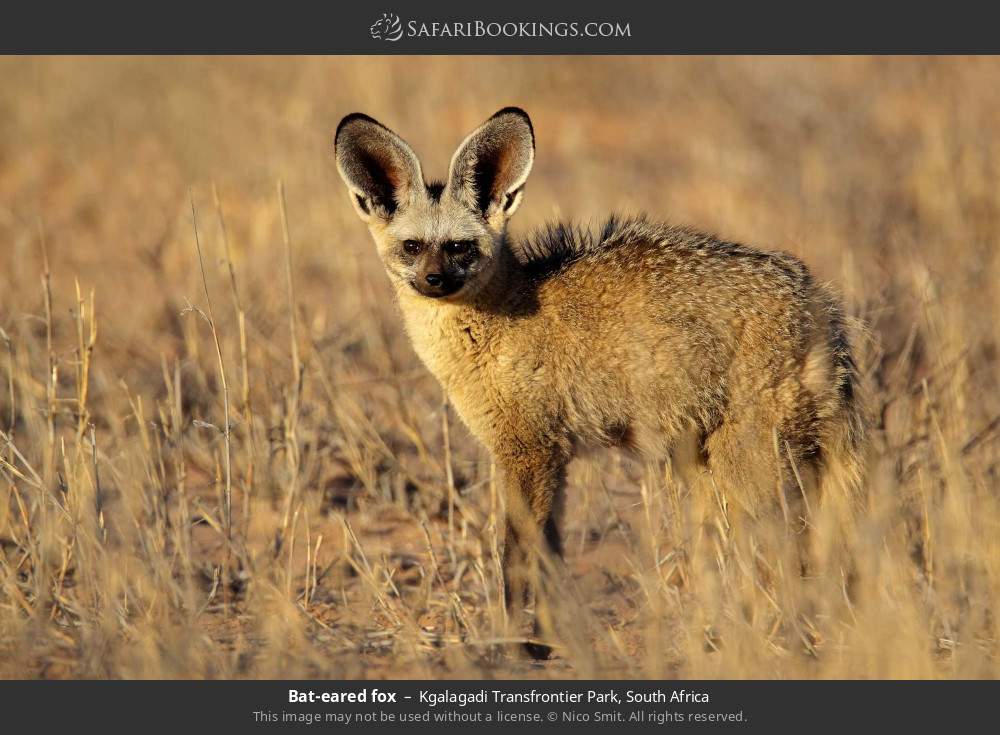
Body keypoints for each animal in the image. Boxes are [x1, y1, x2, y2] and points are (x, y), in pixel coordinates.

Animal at [334, 107, 868, 659]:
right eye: (413, 247)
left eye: (460, 247)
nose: (434, 281)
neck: (497, 325)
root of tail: (817, 299)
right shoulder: (552, 458)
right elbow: (549, 556)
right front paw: (550, 640)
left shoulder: (528, 452)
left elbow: (516, 557)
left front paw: (508, 643)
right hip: (714, 470)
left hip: (750, 470)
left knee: (792, 555)